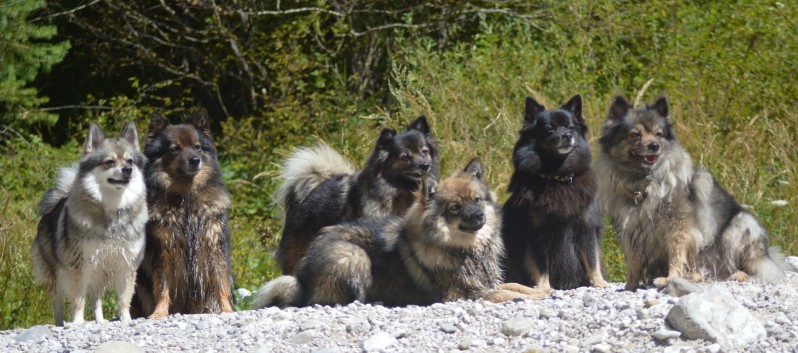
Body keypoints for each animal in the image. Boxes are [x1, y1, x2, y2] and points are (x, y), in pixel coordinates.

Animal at [32, 123, 148, 324]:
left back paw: (100, 321)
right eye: (110, 162)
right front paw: (78, 323)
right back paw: (60, 324)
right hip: (56, 273)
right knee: (57, 302)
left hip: (100, 273)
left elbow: (124, 298)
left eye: (130, 161)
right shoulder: (79, 265)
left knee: (96, 298)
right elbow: (78, 299)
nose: (128, 170)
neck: (113, 208)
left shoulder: (126, 265)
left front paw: (126, 320)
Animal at [504, 94, 608, 288]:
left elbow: (592, 259)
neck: (557, 178)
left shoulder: (586, 226)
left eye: (571, 128)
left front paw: (599, 282)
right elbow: (541, 266)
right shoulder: (537, 232)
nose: (567, 136)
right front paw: (544, 287)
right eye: (550, 129)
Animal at [596, 93, 784, 288]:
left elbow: (676, 253)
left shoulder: (678, 225)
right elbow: (633, 261)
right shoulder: (631, 228)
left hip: (739, 226)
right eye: (636, 134)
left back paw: (737, 275)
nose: (655, 145)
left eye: (659, 134)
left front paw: (669, 278)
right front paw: (630, 286)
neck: (643, 180)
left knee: (745, 268)